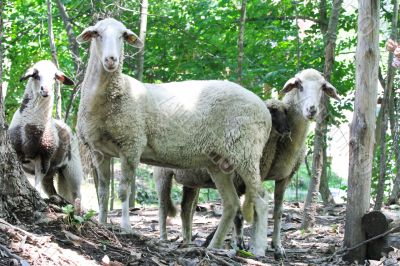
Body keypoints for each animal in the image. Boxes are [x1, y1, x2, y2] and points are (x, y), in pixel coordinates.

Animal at [8, 60, 83, 203]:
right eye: (36, 75)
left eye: (54, 77)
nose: (46, 90)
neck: (32, 126)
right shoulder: (17, 151)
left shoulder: (44, 156)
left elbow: (36, 186)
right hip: (52, 172)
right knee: (51, 189)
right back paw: (57, 200)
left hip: (72, 168)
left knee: (77, 194)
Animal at [76, 18, 272, 256]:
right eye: (96, 34)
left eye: (123, 35)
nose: (111, 59)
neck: (114, 93)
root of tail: (264, 110)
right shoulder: (98, 150)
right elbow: (103, 191)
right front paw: (102, 223)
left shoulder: (131, 143)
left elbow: (123, 191)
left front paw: (125, 227)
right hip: (219, 161)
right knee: (231, 203)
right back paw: (214, 246)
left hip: (245, 151)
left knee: (261, 200)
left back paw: (258, 249)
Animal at [154, 70, 340, 258]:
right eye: (299, 85)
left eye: (323, 87)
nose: (312, 110)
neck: (284, 145)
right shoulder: (245, 176)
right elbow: (243, 212)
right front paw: (243, 245)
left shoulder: (285, 177)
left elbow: (278, 211)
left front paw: (277, 246)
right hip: (162, 173)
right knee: (163, 206)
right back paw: (164, 239)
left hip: (192, 180)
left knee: (186, 208)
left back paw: (187, 240)